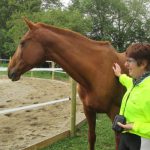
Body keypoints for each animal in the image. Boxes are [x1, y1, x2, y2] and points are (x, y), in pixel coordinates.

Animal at [7, 18, 127, 149]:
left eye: (22, 43)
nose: (10, 70)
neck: (97, 71)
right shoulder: (89, 110)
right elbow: (92, 137)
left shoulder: (115, 113)